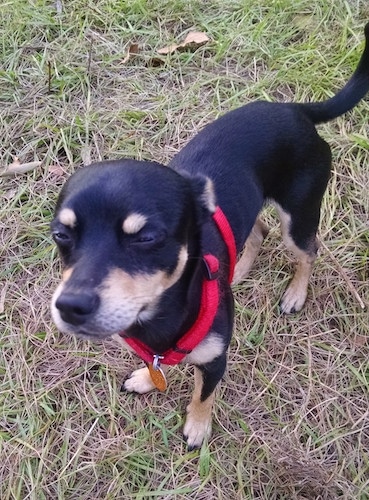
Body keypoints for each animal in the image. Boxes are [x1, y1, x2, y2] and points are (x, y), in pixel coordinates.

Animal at [49, 23, 368, 450]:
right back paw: (240, 269)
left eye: (146, 237)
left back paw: (295, 294)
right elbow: (156, 365)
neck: (158, 318)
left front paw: (197, 428)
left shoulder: (217, 358)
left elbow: (203, 394)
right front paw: (145, 378)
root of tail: (295, 109)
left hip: (299, 216)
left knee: (307, 251)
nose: (71, 306)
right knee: (258, 230)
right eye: (60, 235)